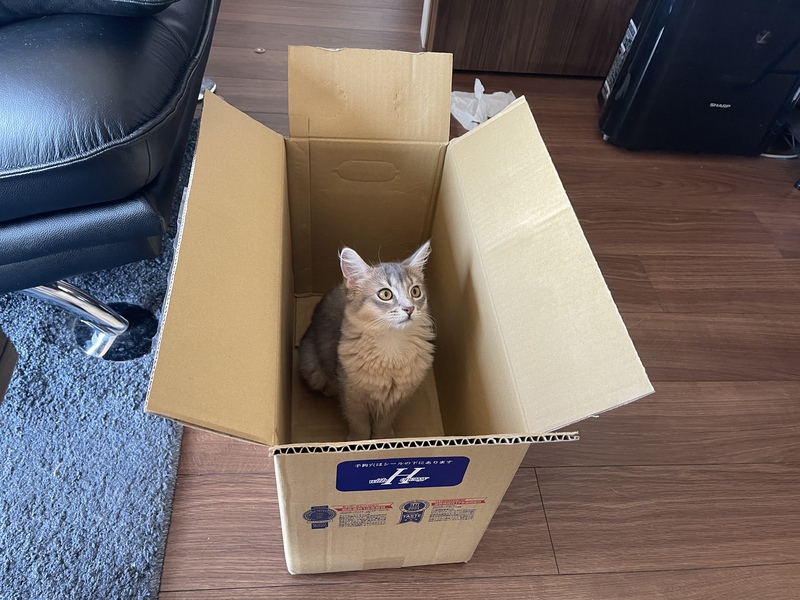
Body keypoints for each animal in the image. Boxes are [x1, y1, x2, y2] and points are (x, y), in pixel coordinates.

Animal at [298, 241, 435, 441]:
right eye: (385, 294)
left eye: (415, 291)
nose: (409, 309)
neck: (391, 347)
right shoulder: (352, 396)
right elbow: (359, 424)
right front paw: (358, 441)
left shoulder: (394, 399)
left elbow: (384, 422)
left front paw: (383, 438)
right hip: (311, 368)